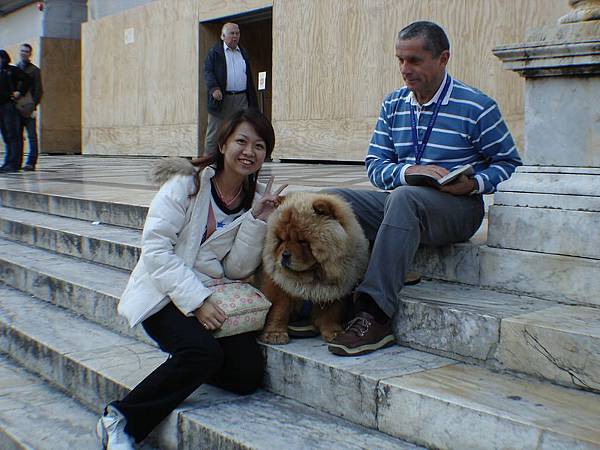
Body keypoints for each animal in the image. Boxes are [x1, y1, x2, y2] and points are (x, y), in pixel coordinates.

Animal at [258, 191, 370, 344]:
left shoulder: (333, 291)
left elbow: (331, 314)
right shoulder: (278, 287)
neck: (310, 278)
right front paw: (275, 334)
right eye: (281, 240)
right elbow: (279, 310)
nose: (284, 255)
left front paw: (334, 332)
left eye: (302, 241)